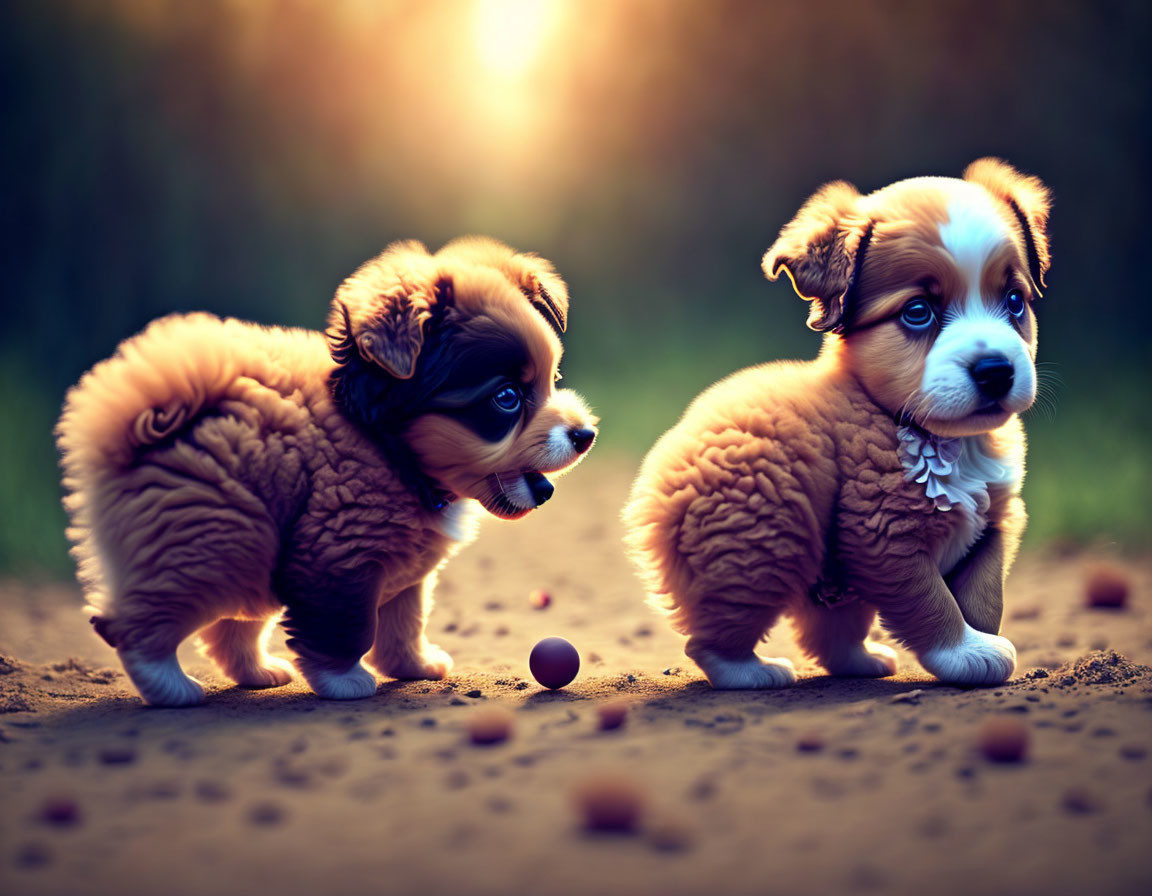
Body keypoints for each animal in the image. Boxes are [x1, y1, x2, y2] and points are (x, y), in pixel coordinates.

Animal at [55, 237, 599, 704]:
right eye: (506, 398)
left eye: (553, 379)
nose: (585, 434)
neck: (388, 449)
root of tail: (133, 425)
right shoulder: (338, 558)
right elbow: (347, 627)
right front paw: (344, 682)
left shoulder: (405, 570)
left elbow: (405, 620)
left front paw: (415, 666)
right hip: (216, 544)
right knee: (135, 625)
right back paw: (171, 688)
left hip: (252, 552)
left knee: (230, 630)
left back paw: (259, 673)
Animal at [626, 158, 1050, 686]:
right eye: (918, 312)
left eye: (1014, 301)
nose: (996, 371)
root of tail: (659, 483)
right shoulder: (885, 539)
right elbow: (930, 603)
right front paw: (962, 651)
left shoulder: (995, 524)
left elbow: (984, 596)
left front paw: (981, 641)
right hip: (759, 547)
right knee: (713, 635)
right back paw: (753, 671)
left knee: (829, 633)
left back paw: (861, 660)